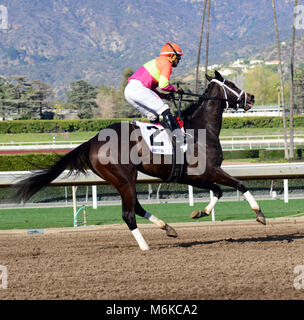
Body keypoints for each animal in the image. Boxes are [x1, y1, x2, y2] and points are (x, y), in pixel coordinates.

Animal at [12, 70, 264, 250]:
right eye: (232, 85)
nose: (251, 97)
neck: (200, 129)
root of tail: (93, 141)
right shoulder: (209, 170)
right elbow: (239, 184)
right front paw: (259, 214)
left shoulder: (193, 177)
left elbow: (218, 191)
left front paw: (199, 212)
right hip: (124, 177)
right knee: (128, 214)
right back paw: (145, 246)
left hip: (120, 179)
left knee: (137, 207)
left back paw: (167, 227)